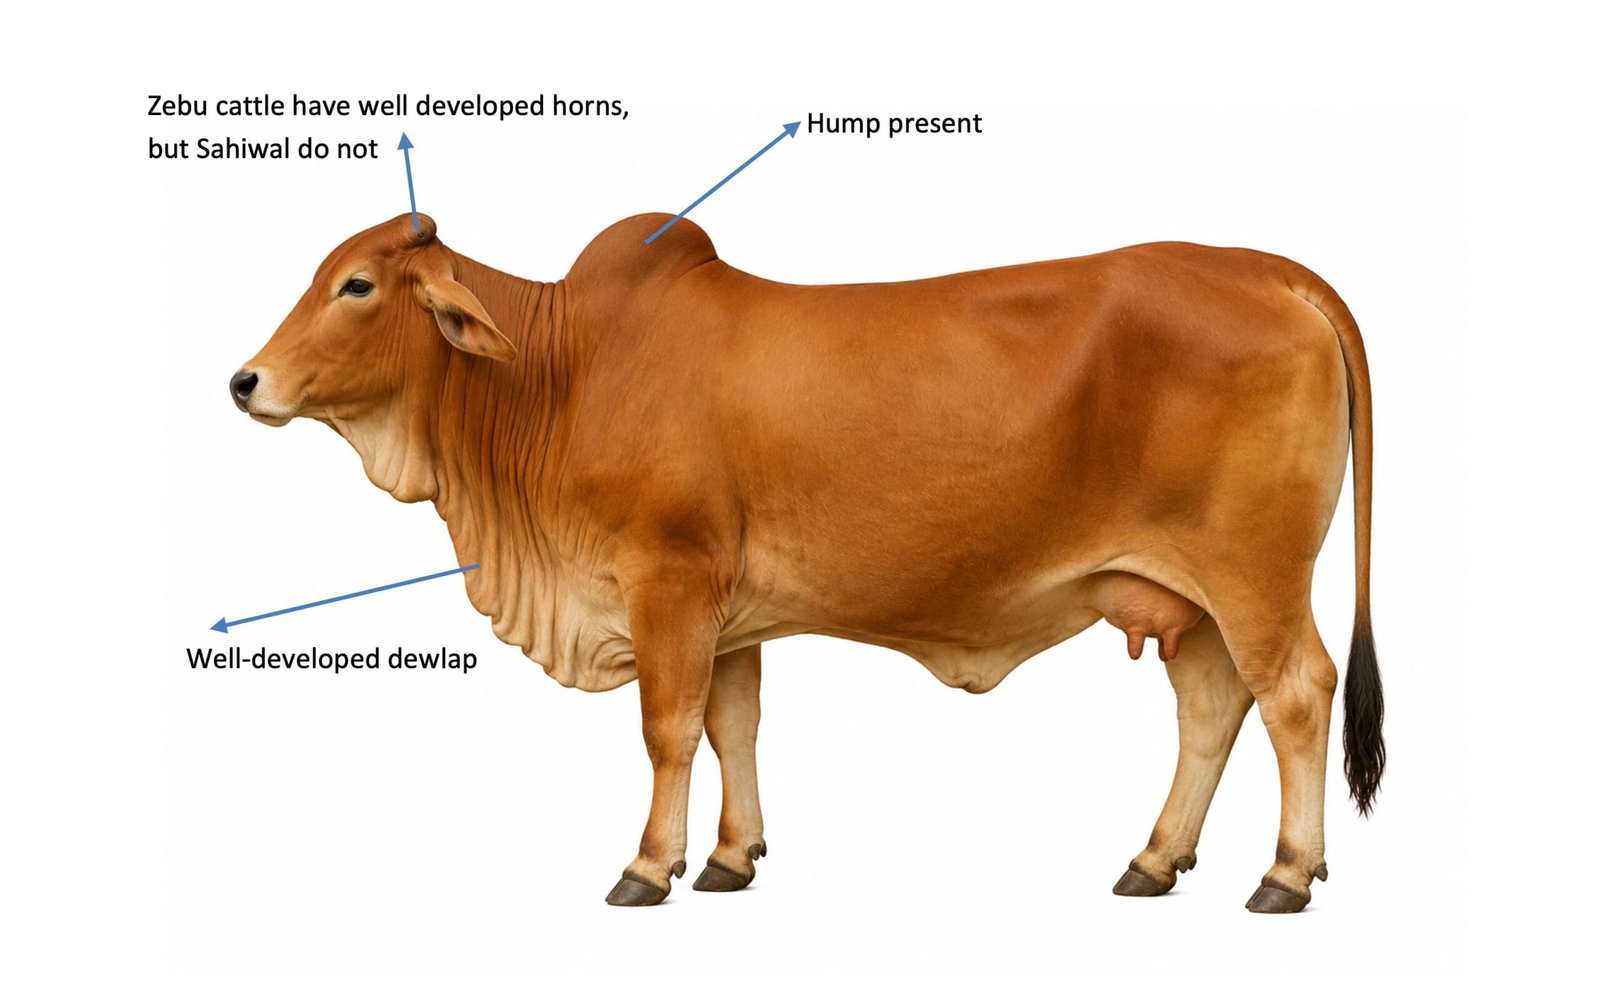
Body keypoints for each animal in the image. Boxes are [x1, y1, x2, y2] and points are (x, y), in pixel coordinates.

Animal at [231, 212, 1384, 912]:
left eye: (357, 285)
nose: (245, 381)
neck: (559, 377)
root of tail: (1267, 269)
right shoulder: (731, 611)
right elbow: (730, 725)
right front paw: (730, 856)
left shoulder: (667, 580)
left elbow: (666, 730)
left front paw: (647, 864)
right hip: (1187, 595)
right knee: (1210, 707)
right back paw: (1153, 858)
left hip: (1254, 577)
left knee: (1294, 693)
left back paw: (1287, 873)